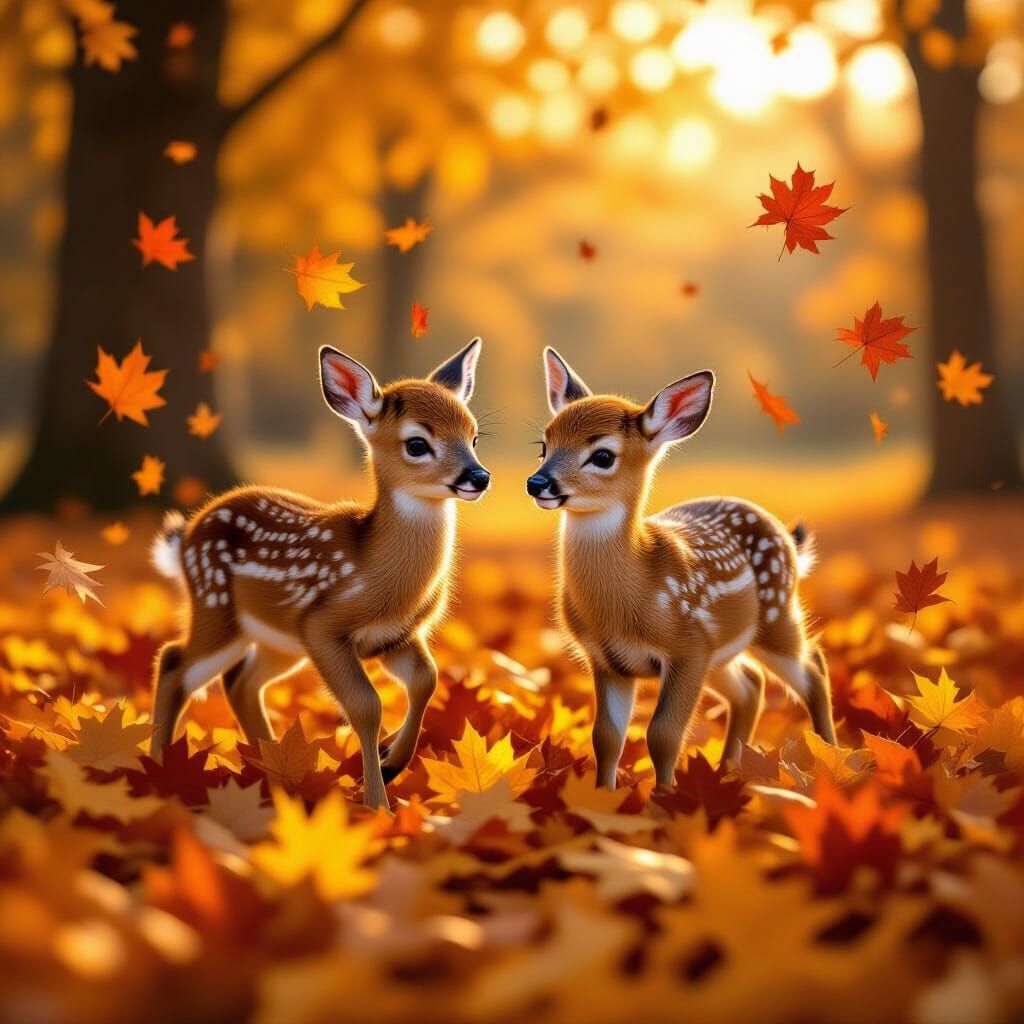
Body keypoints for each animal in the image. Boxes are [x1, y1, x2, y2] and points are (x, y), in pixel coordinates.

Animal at [148, 339, 489, 809]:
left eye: (473, 435)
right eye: (417, 444)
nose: (478, 476)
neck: (378, 572)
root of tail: (185, 537)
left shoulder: (396, 636)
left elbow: (427, 679)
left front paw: (392, 761)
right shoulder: (323, 625)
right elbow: (366, 705)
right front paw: (377, 803)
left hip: (278, 639)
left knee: (240, 681)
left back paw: (273, 769)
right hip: (217, 609)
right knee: (174, 661)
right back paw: (157, 768)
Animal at [528, 347, 837, 790]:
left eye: (602, 455)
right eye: (544, 445)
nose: (538, 483)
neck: (631, 595)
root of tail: (786, 536)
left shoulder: (687, 647)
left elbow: (663, 735)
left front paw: (665, 798)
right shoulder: (605, 659)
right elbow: (606, 737)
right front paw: (604, 797)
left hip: (776, 617)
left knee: (813, 667)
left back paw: (834, 758)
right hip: (723, 650)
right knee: (751, 686)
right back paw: (728, 771)